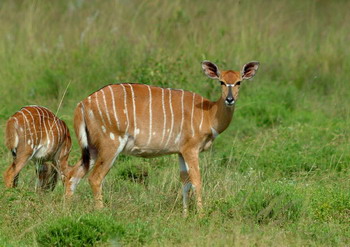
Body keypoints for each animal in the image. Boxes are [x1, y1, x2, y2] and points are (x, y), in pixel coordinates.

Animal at [65, 60, 258, 215]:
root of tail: (82, 103)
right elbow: (197, 180)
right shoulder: (191, 149)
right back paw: (101, 212)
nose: (230, 99)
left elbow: (185, 182)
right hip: (110, 144)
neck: (208, 113)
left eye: (239, 82)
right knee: (95, 178)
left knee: (73, 174)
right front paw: (201, 215)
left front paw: (185, 215)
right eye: (221, 82)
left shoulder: (180, 151)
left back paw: (67, 210)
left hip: (92, 148)